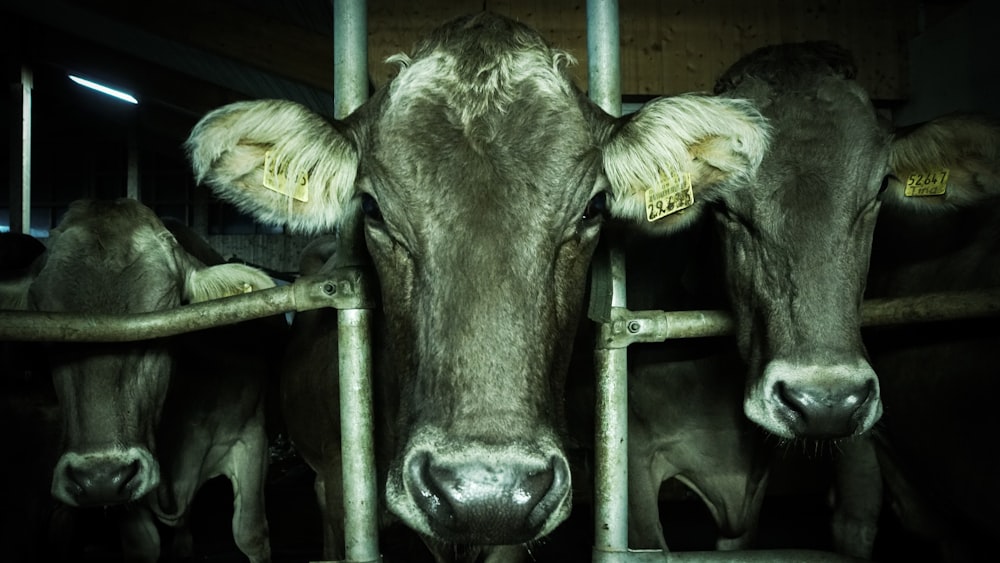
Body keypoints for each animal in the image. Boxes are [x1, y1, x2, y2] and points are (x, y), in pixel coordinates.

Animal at [18, 199, 286, 563]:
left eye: (163, 319)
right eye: (47, 332)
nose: (99, 478)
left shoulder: (250, 438)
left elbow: (250, 535)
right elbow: (143, 545)